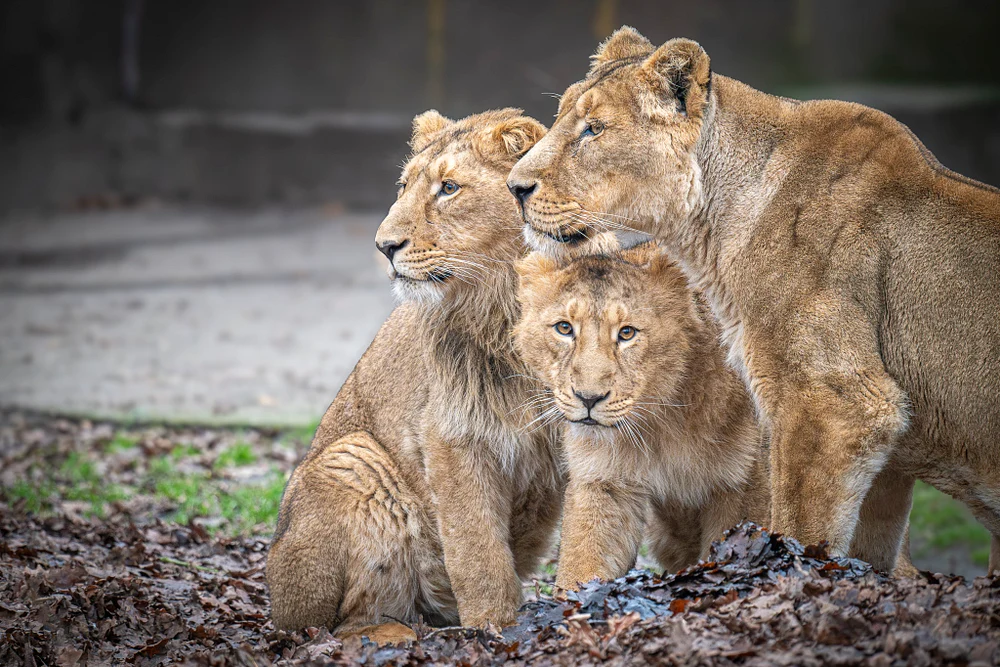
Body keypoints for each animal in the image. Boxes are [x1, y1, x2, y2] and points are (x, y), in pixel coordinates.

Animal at [266, 108, 564, 644]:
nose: (384, 246)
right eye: (403, 186)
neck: (509, 302)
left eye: (449, 188)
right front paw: (494, 628)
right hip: (352, 459)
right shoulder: (450, 435)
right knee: (336, 628)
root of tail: (276, 603)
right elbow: (476, 548)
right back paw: (399, 635)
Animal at [514, 241, 769, 588]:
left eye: (627, 333)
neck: (661, 419)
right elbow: (583, 563)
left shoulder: (743, 484)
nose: (589, 398)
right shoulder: (603, 481)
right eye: (564, 328)